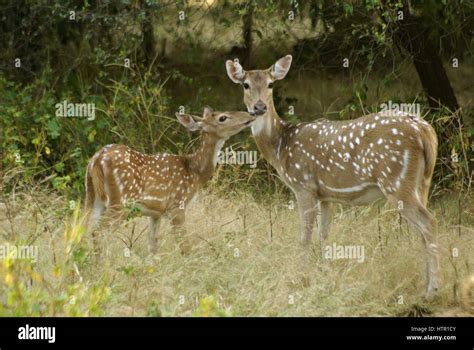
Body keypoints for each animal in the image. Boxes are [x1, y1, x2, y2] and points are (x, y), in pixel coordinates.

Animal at [84, 108, 256, 253]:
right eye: (223, 117)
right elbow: (184, 245)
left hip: (93, 197)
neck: (195, 173)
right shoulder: (177, 205)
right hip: (120, 200)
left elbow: (153, 245)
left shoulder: (156, 213)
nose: (252, 114)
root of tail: (96, 159)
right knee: (98, 233)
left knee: (86, 229)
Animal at [227, 54, 440, 298]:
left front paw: (301, 277)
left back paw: (432, 290)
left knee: (429, 222)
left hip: (396, 180)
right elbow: (324, 233)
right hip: (422, 182)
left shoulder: (303, 186)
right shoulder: (325, 195)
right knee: (423, 229)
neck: (281, 147)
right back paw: (425, 284)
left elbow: (304, 235)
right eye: (245, 84)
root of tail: (426, 131)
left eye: (271, 84)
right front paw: (323, 272)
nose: (259, 106)